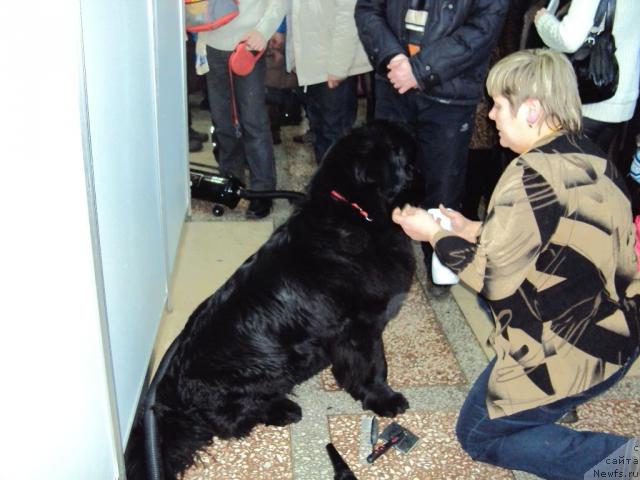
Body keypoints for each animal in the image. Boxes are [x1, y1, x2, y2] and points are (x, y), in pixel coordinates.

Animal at [125, 119, 420, 476]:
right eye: (405, 153)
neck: (353, 211)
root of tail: (171, 399)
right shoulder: (361, 328)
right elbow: (374, 365)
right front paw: (384, 399)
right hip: (269, 368)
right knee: (230, 421)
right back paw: (282, 409)